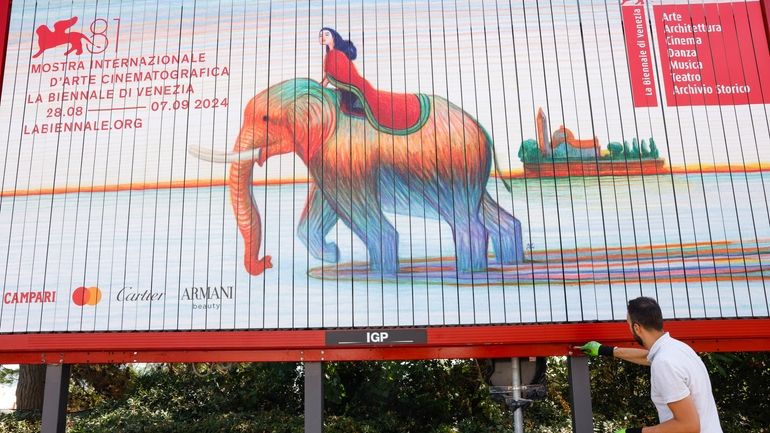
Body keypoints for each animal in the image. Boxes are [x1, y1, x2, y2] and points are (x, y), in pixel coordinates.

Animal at [190, 78, 520, 276]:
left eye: (265, 118)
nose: (266, 262)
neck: (322, 99)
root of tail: (484, 132)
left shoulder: (346, 158)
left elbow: (360, 215)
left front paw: (382, 275)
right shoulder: (329, 162)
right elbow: (320, 210)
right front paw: (333, 255)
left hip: (452, 172)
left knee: (466, 222)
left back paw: (468, 272)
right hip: (468, 176)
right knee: (491, 214)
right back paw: (507, 260)